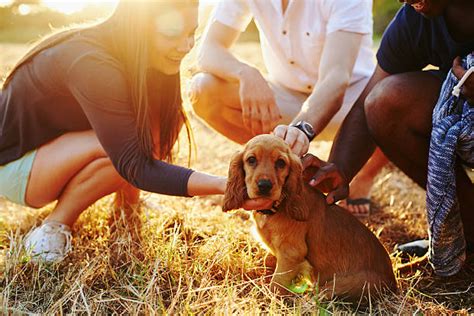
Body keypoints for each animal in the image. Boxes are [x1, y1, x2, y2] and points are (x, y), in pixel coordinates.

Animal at [222, 134, 396, 302]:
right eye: (251, 160)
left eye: (281, 163)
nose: (264, 185)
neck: (275, 208)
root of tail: (393, 284)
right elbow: (270, 264)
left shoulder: (291, 252)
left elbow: (277, 283)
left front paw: (271, 301)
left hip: (343, 284)